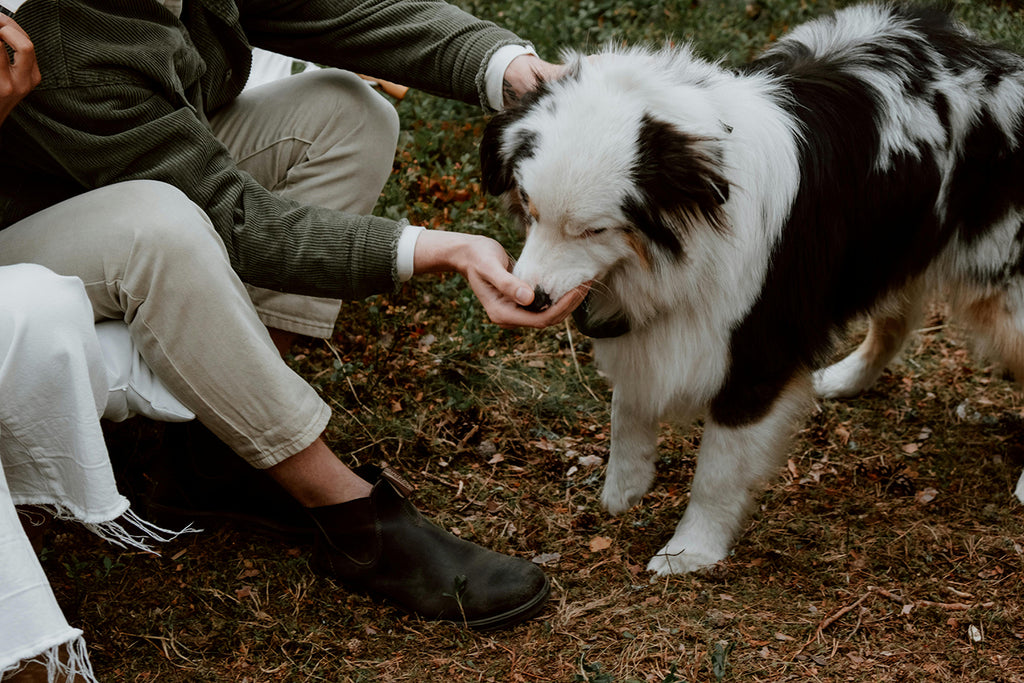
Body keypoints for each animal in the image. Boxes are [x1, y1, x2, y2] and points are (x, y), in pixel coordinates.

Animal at [479, 2, 1024, 573]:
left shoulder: (759, 349)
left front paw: (690, 551)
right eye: (529, 208)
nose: (530, 299)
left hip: (1001, 284)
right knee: (894, 322)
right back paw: (845, 378)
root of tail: (997, 57)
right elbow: (628, 407)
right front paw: (624, 489)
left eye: (594, 230)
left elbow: (717, 471)